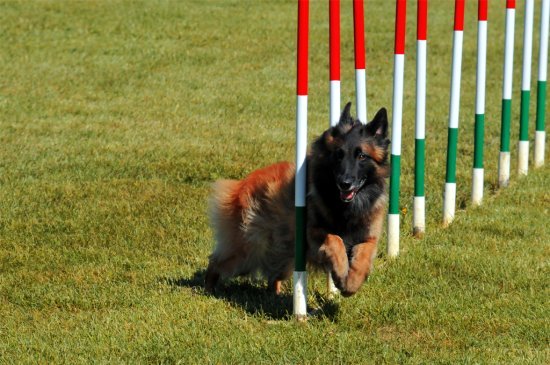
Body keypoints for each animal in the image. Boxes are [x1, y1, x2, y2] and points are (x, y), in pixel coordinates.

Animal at [205, 102, 390, 296]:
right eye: (338, 155)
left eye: (362, 156)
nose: (345, 184)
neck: (347, 208)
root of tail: (242, 184)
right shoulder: (313, 233)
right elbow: (335, 240)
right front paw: (340, 272)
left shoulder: (368, 237)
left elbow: (364, 255)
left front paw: (351, 282)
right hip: (248, 251)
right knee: (216, 262)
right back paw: (208, 289)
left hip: (284, 256)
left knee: (273, 276)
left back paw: (275, 295)